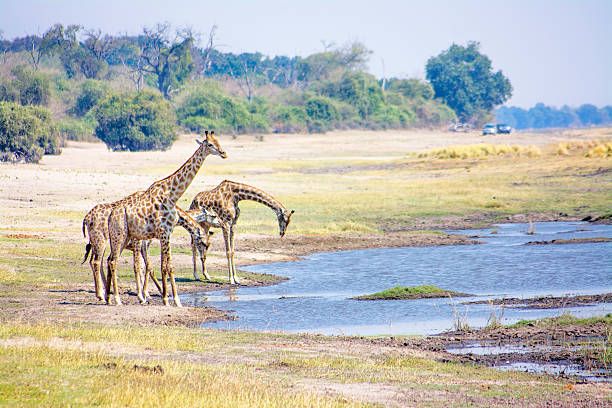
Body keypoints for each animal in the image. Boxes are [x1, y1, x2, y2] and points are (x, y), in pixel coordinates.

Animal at [106, 131, 228, 306]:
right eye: (210, 144)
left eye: (218, 141)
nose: (224, 153)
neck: (171, 195)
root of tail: (111, 215)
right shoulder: (163, 233)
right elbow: (167, 266)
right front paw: (174, 300)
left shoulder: (166, 234)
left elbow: (165, 265)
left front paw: (166, 298)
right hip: (120, 235)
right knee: (114, 261)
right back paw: (117, 299)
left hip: (124, 237)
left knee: (110, 260)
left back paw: (108, 298)